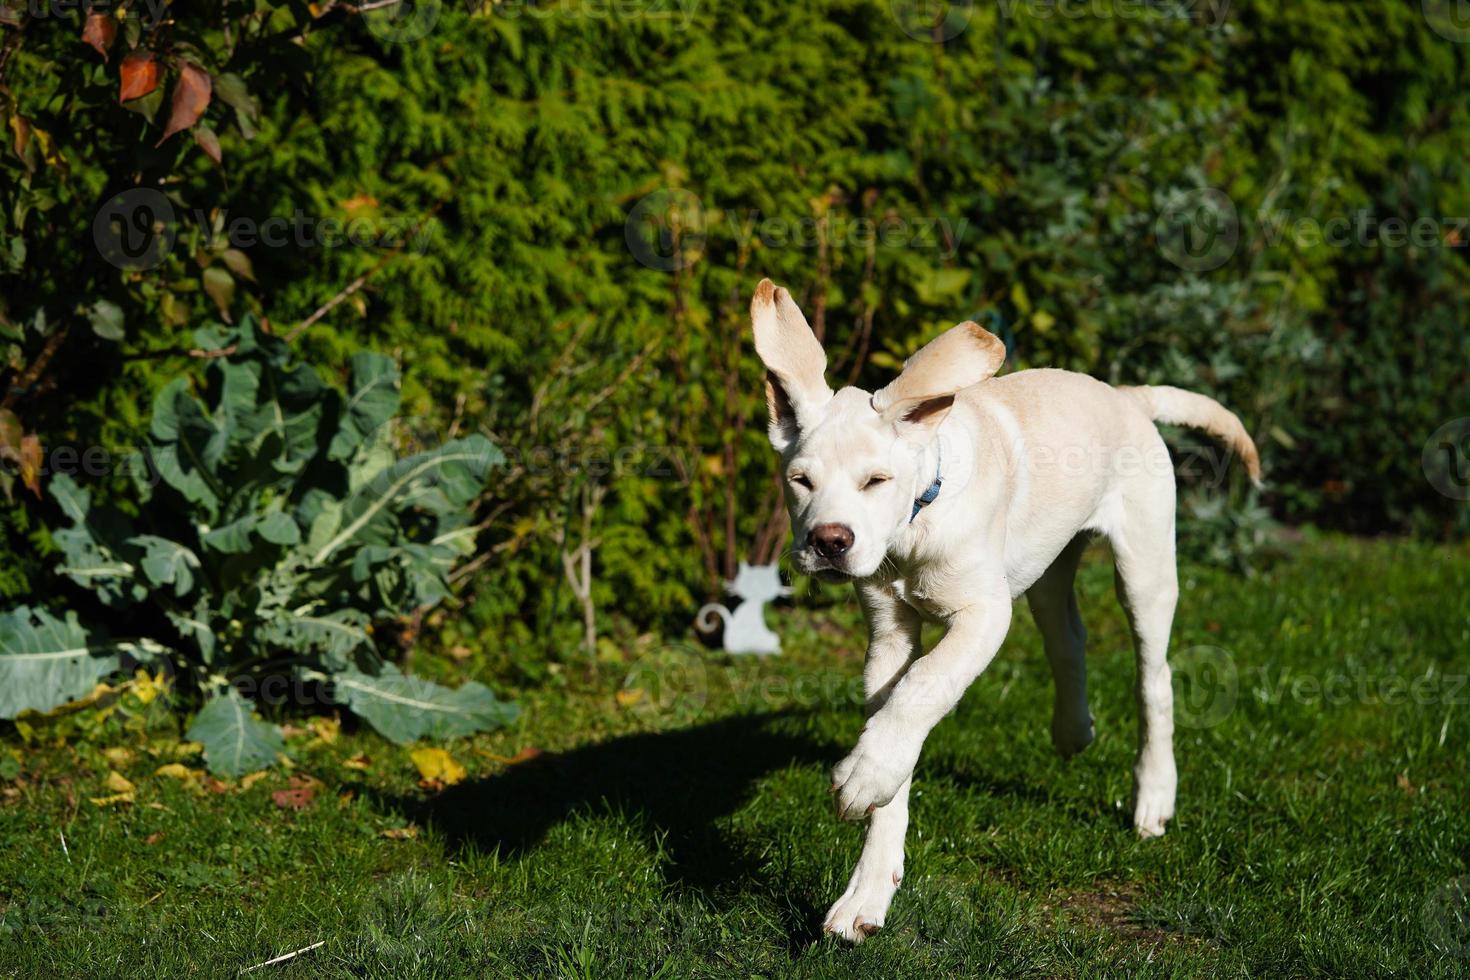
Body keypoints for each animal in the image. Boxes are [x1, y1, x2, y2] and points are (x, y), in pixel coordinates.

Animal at [752, 277, 1258, 940]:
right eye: (800, 481)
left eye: (876, 481)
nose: (830, 542)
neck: (918, 522)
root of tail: (1125, 396)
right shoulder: (887, 634)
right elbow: (900, 713)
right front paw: (868, 888)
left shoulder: (984, 615)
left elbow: (926, 684)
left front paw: (865, 775)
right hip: (1048, 564)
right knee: (1068, 639)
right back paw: (1073, 729)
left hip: (1145, 566)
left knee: (1156, 678)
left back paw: (1153, 796)